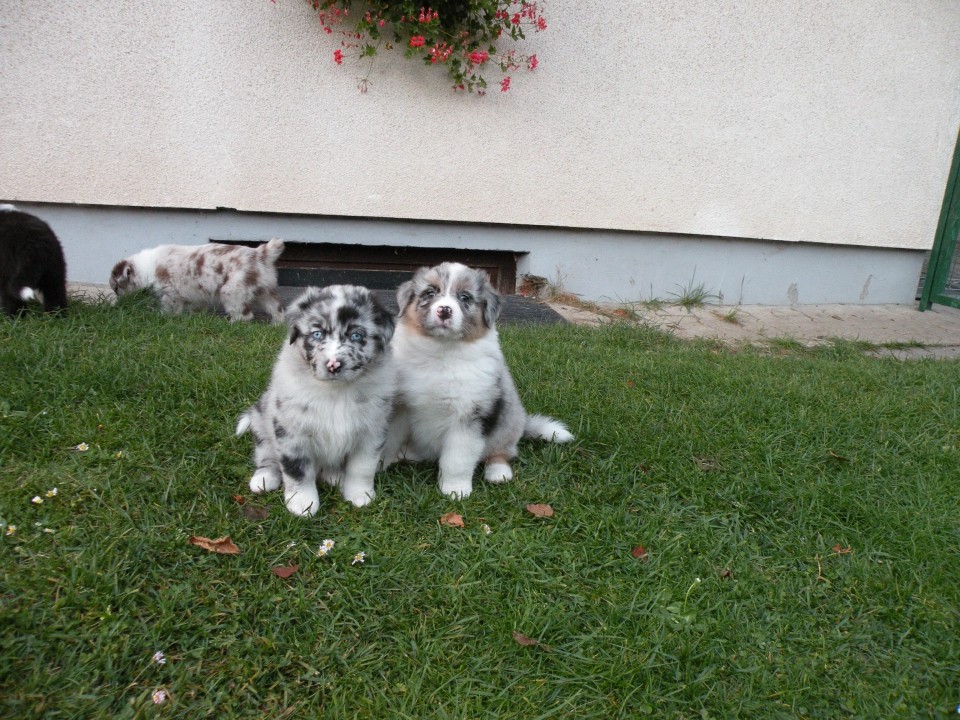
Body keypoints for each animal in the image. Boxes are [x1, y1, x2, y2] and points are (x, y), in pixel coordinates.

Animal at [108, 240, 284, 322]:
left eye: (116, 288)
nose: (119, 302)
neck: (148, 268)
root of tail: (261, 254)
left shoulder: (170, 294)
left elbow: (169, 309)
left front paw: (163, 317)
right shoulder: (196, 296)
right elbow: (196, 308)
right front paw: (195, 318)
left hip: (232, 292)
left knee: (245, 315)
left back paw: (231, 323)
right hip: (265, 292)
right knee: (277, 310)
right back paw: (276, 324)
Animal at [236, 284, 398, 516]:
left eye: (356, 336)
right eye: (317, 333)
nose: (333, 365)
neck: (336, 392)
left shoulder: (372, 431)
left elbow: (362, 467)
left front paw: (360, 495)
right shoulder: (291, 431)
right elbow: (297, 470)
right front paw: (302, 503)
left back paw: (335, 476)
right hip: (261, 424)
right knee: (267, 456)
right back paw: (264, 478)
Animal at [382, 262, 572, 498]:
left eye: (465, 297)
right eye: (430, 293)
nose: (444, 310)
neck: (442, 351)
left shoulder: (470, 416)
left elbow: (457, 460)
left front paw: (455, 490)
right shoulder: (400, 407)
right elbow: (387, 440)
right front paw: (376, 468)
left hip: (508, 422)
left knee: (501, 452)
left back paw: (498, 472)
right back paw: (407, 454)